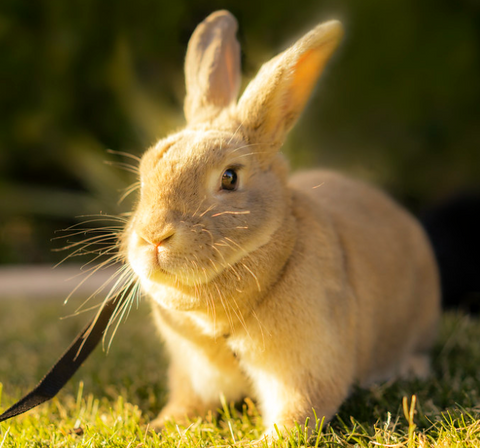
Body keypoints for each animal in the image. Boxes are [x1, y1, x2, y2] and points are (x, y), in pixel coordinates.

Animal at [125, 9, 440, 438]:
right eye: (145, 174)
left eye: (229, 178)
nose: (154, 237)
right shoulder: (193, 374)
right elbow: (186, 404)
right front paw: (157, 426)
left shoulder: (304, 371)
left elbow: (297, 414)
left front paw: (260, 442)